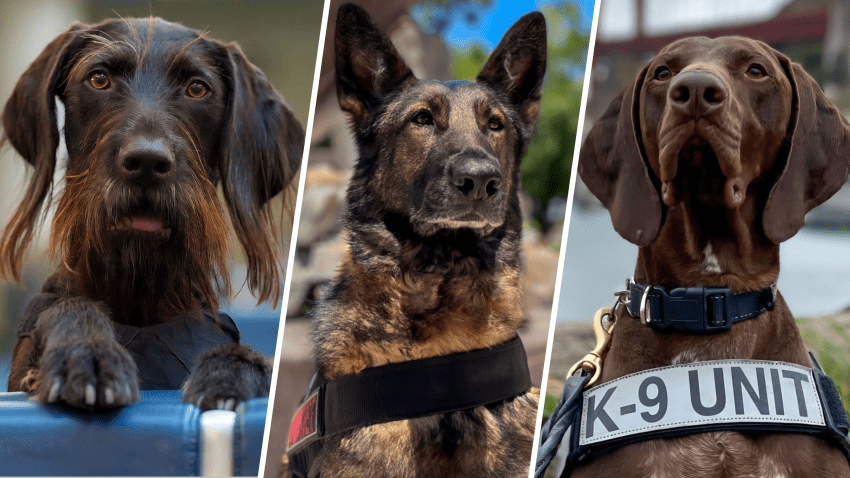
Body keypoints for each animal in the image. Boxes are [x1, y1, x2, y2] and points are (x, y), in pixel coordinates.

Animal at [0, 17, 304, 410]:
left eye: (197, 88)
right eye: (99, 78)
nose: (146, 162)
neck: (140, 300)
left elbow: (254, 362)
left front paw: (230, 371)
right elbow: (67, 309)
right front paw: (85, 351)